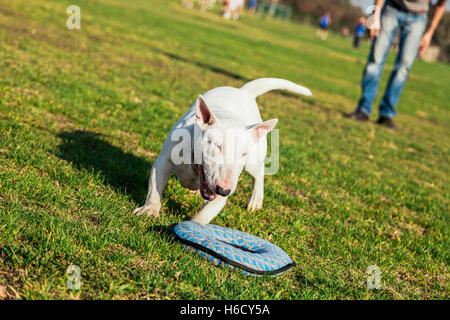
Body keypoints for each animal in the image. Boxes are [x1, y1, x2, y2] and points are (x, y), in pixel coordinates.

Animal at [134, 77, 312, 225]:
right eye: (217, 146)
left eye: (243, 153)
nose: (224, 190)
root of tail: (243, 92)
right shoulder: (164, 160)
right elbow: (155, 188)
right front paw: (149, 211)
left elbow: (208, 210)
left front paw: (196, 226)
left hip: (253, 162)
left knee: (258, 174)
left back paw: (255, 201)